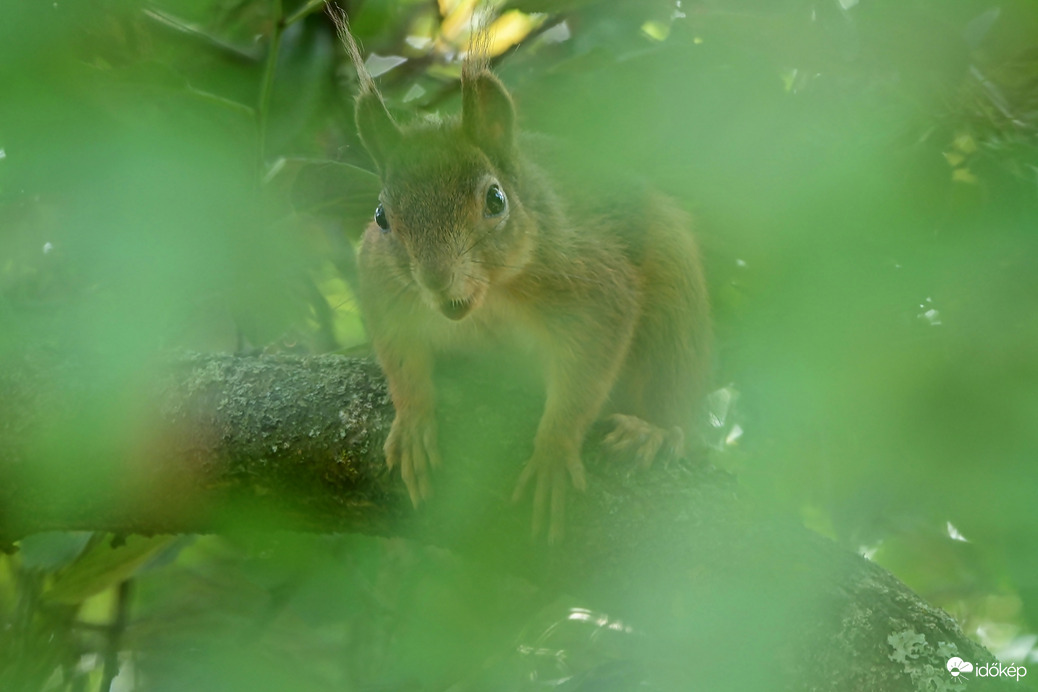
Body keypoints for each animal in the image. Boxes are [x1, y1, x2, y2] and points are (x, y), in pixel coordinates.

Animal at [332, 8, 714, 543]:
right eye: (381, 216)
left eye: (496, 200)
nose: (435, 279)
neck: (486, 304)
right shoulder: (385, 288)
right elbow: (401, 358)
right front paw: (414, 421)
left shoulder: (591, 286)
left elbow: (583, 377)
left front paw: (553, 452)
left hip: (677, 307)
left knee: (673, 384)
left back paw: (654, 431)